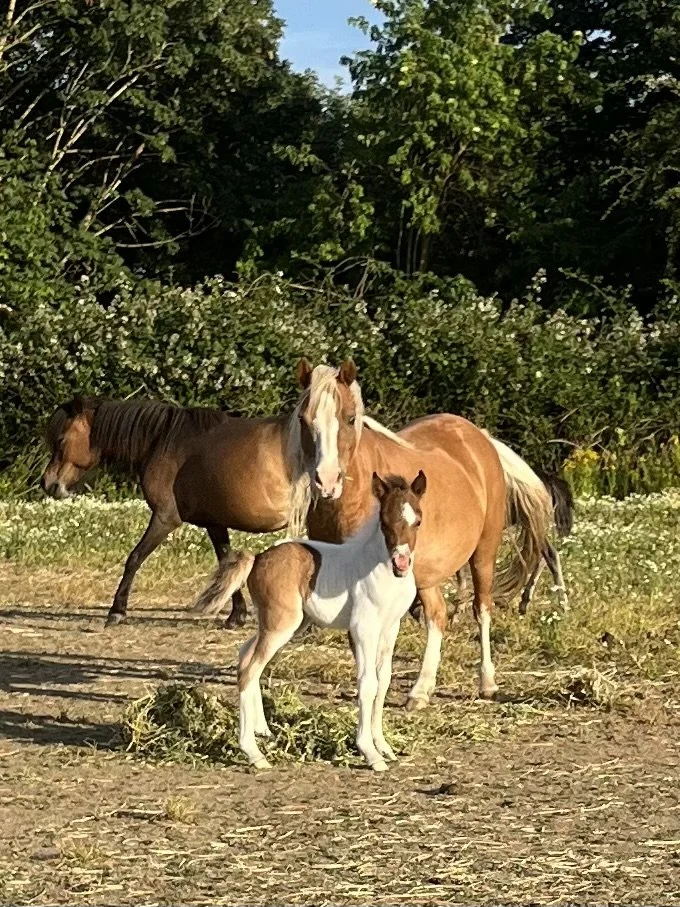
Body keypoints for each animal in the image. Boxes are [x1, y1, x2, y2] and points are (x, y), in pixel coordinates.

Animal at [41, 396, 307, 627]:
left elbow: (134, 558)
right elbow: (226, 561)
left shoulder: (165, 518)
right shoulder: (214, 523)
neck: (163, 441)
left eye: (61, 440)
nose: (48, 483)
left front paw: (117, 611)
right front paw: (237, 615)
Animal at [193, 472, 427, 771]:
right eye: (384, 521)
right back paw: (254, 754)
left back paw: (262, 730)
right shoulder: (364, 628)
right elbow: (368, 683)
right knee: (249, 669)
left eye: (417, 520)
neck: (379, 568)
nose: (401, 562)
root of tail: (258, 558)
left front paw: (384, 746)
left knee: (246, 655)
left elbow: (383, 681)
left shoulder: (390, 627)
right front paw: (370, 754)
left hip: (284, 623)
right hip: (282, 624)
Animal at [195, 359, 553, 707]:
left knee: (482, 609)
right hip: (426, 575)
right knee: (437, 616)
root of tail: (480, 437)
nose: (326, 481)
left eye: (350, 418)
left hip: (483, 553)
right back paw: (421, 689)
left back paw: (486, 682)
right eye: (304, 419)